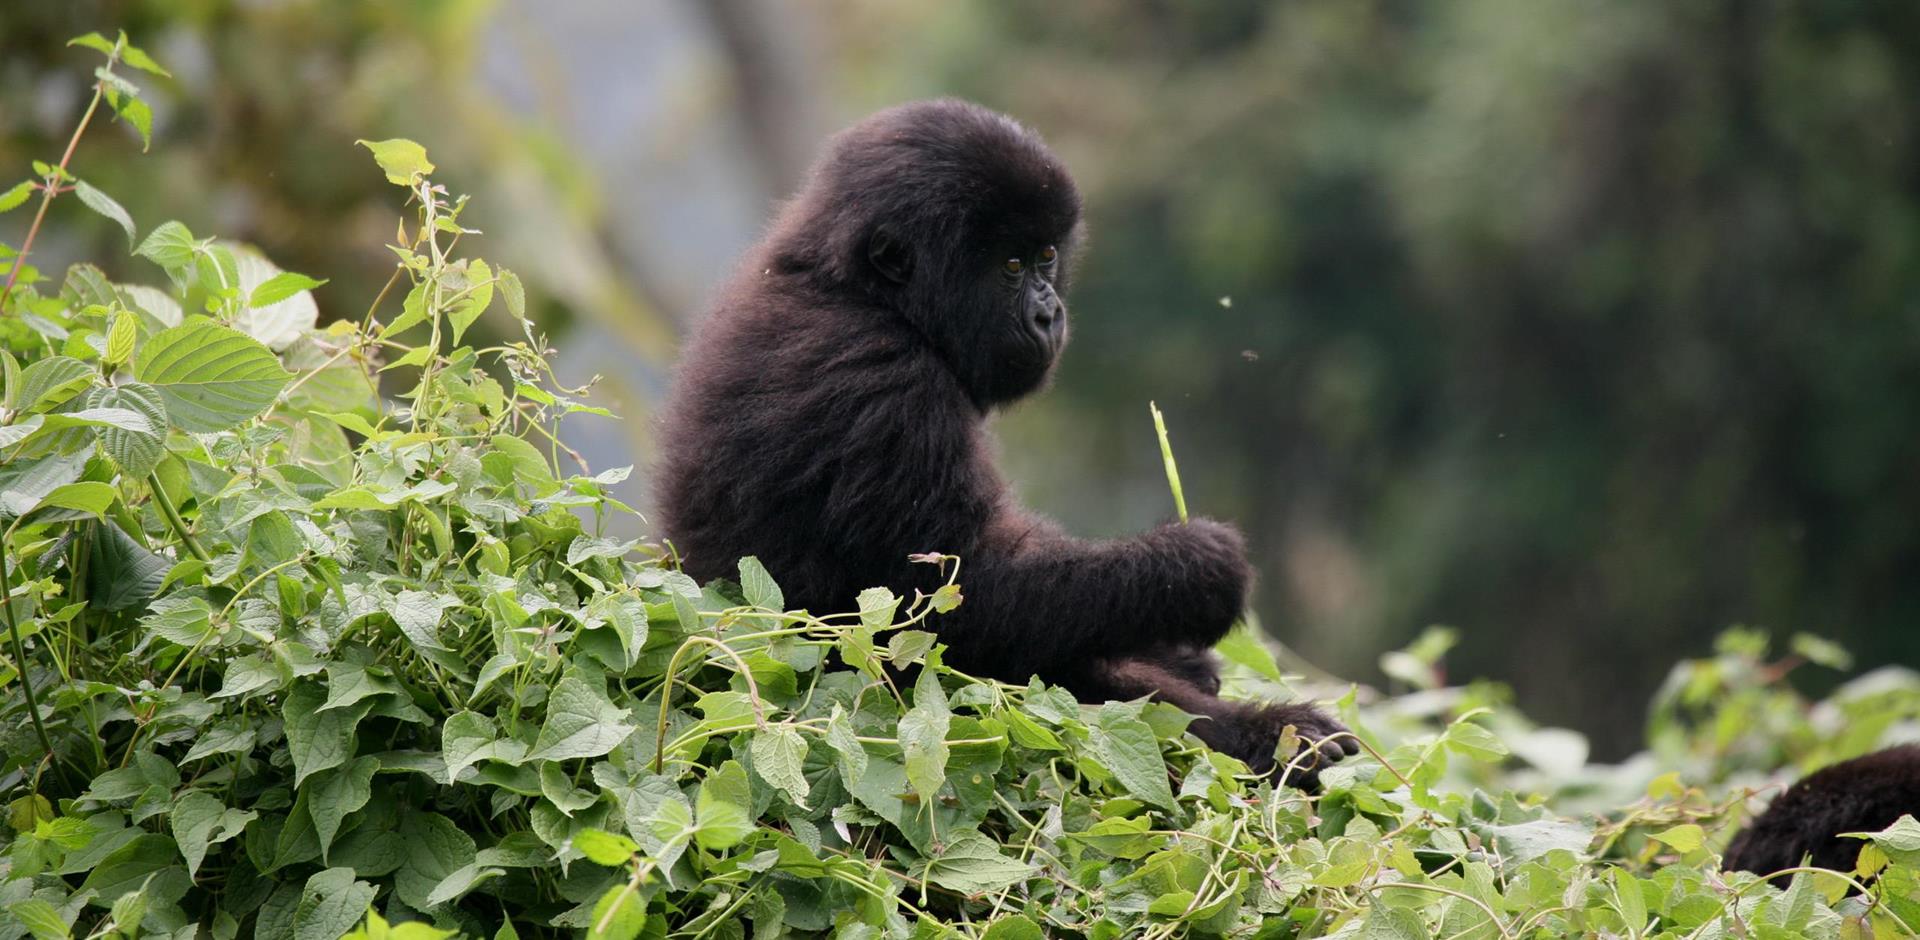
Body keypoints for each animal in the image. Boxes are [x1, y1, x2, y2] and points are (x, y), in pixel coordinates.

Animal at [660, 97, 1351, 786]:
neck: (857, 290)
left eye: (1046, 257)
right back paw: (1275, 737)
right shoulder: (884, 383)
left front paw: (1181, 649)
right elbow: (962, 606)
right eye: (1011, 267)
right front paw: (1193, 570)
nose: (1049, 315)